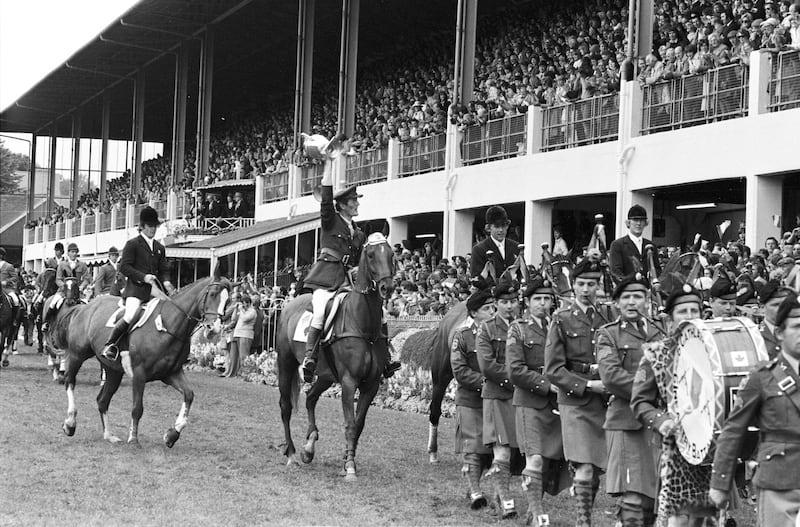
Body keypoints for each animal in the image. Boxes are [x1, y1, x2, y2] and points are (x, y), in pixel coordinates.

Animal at [51, 270, 230, 448]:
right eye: (213, 294)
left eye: (228, 301)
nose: (214, 329)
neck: (168, 325)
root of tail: (84, 307)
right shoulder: (139, 374)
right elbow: (137, 408)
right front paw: (133, 439)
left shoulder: (171, 373)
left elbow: (189, 395)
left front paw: (172, 435)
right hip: (77, 354)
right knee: (70, 382)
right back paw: (70, 423)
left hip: (113, 370)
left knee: (102, 400)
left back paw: (109, 435)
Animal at [276, 233, 396, 480]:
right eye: (371, 255)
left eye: (391, 254)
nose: (387, 287)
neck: (363, 324)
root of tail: (288, 306)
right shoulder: (349, 382)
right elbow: (350, 423)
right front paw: (349, 467)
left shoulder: (371, 385)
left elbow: (358, 424)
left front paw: (346, 459)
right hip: (286, 363)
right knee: (286, 406)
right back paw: (291, 453)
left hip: (325, 375)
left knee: (311, 398)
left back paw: (308, 448)